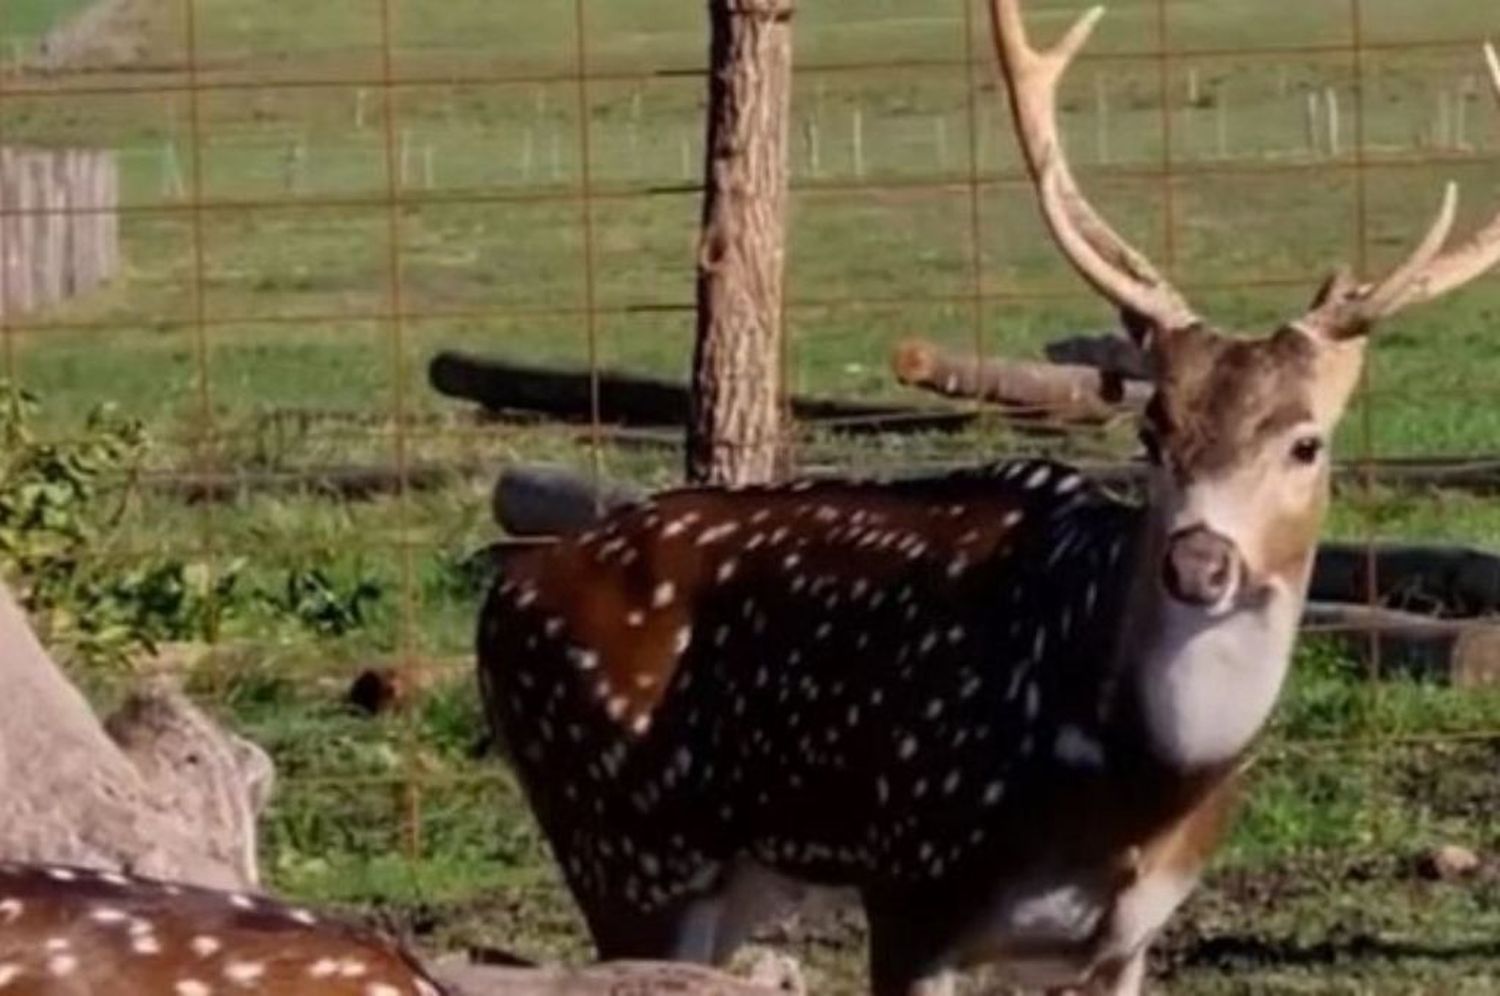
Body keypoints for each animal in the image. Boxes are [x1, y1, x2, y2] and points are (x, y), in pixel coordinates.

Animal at [474, 3, 1500, 990]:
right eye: (1153, 430)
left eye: (1305, 442)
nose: (1200, 561)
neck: (1135, 790)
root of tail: (503, 595)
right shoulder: (915, 882)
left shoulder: (1127, 940)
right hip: (625, 844)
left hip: (728, 877)